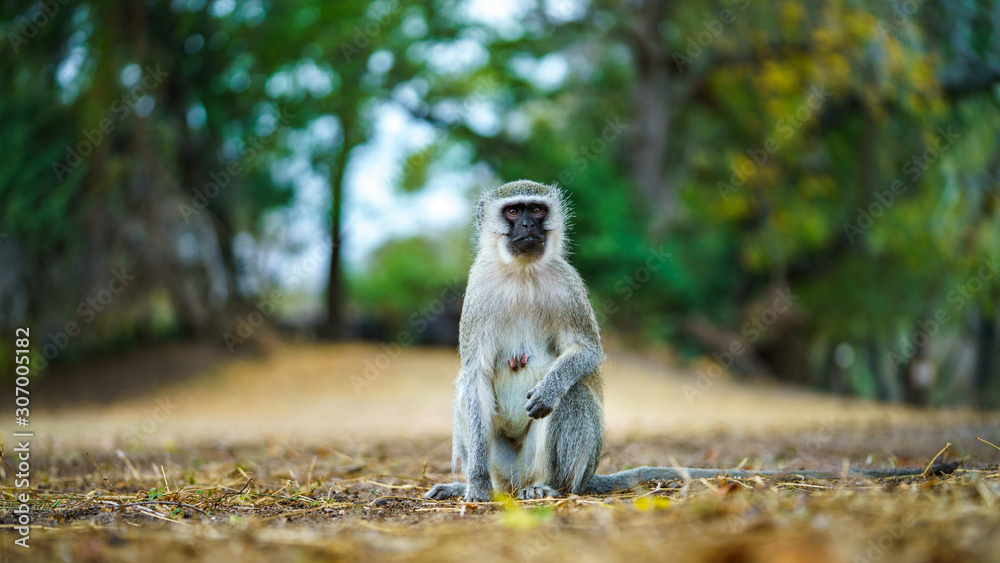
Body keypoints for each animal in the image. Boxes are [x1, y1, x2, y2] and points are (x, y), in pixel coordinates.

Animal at [424, 180, 960, 503]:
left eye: (537, 211)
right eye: (514, 212)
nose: (528, 227)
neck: (523, 273)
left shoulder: (569, 285)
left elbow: (585, 355)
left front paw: (551, 387)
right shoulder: (478, 291)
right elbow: (474, 375)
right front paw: (471, 485)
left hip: (565, 466)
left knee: (571, 401)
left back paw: (547, 488)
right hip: (505, 465)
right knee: (465, 393)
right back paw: (479, 484)